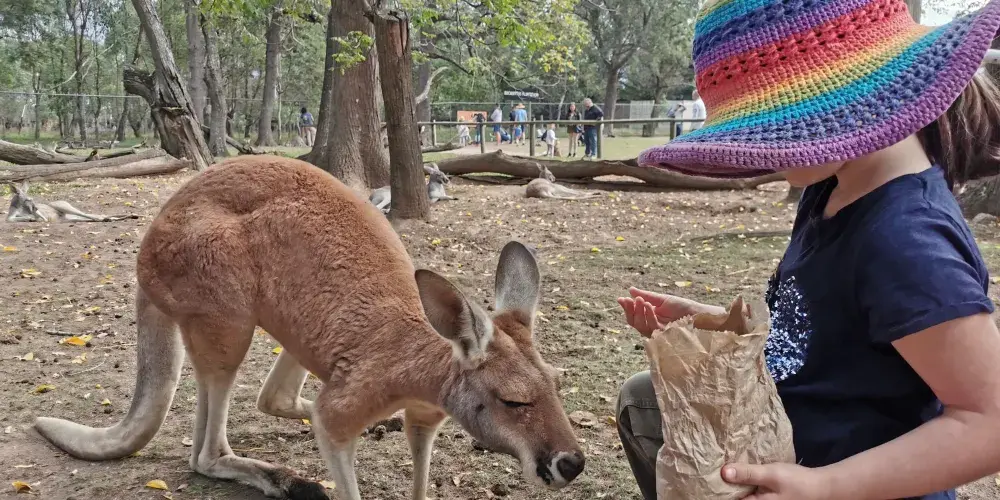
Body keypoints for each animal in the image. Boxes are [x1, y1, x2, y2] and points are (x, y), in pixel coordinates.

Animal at [6, 181, 138, 222]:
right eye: (28, 199)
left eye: (31, 199)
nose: (36, 208)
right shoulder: (11, 215)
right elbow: (10, 219)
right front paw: (31, 218)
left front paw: (34, 218)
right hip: (69, 217)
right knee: (94, 216)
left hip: (61, 205)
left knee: (91, 215)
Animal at [33, 155, 585, 500]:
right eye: (513, 402)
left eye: (558, 386)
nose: (572, 464)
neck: (428, 361)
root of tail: (146, 256)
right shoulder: (347, 403)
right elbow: (331, 428)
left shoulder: (428, 414)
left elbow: (419, 461)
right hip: (221, 305)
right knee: (206, 453)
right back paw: (288, 481)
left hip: (284, 325)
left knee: (269, 399)